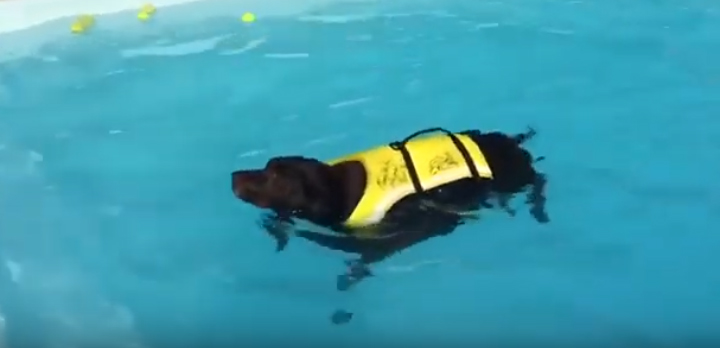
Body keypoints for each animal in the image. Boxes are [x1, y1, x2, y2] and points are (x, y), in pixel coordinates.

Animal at [233, 126, 548, 290]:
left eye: (275, 177)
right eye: (267, 167)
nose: (233, 176)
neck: (334, 189)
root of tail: (512, 141)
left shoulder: (390, 236)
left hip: (517, 177)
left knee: (539, 182)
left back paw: (539, 211)